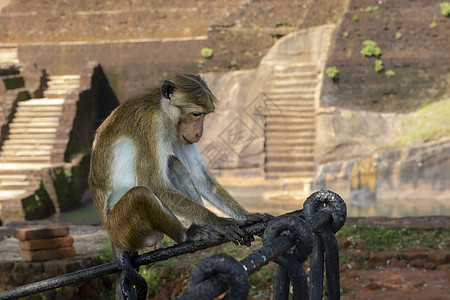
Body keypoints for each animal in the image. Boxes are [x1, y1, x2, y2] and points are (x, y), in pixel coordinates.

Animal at [89, 74, 268, 298]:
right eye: (196, 114)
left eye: (204, 115)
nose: (199, 133)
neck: (163, 111)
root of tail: (112, 238)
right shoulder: (150, 123)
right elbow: (152, 183)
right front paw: (219, 222)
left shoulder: (179, 132)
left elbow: (197, 175)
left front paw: (244, 216)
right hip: (120, 228)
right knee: (141, 194)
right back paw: (186, 234)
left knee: (171, 163)